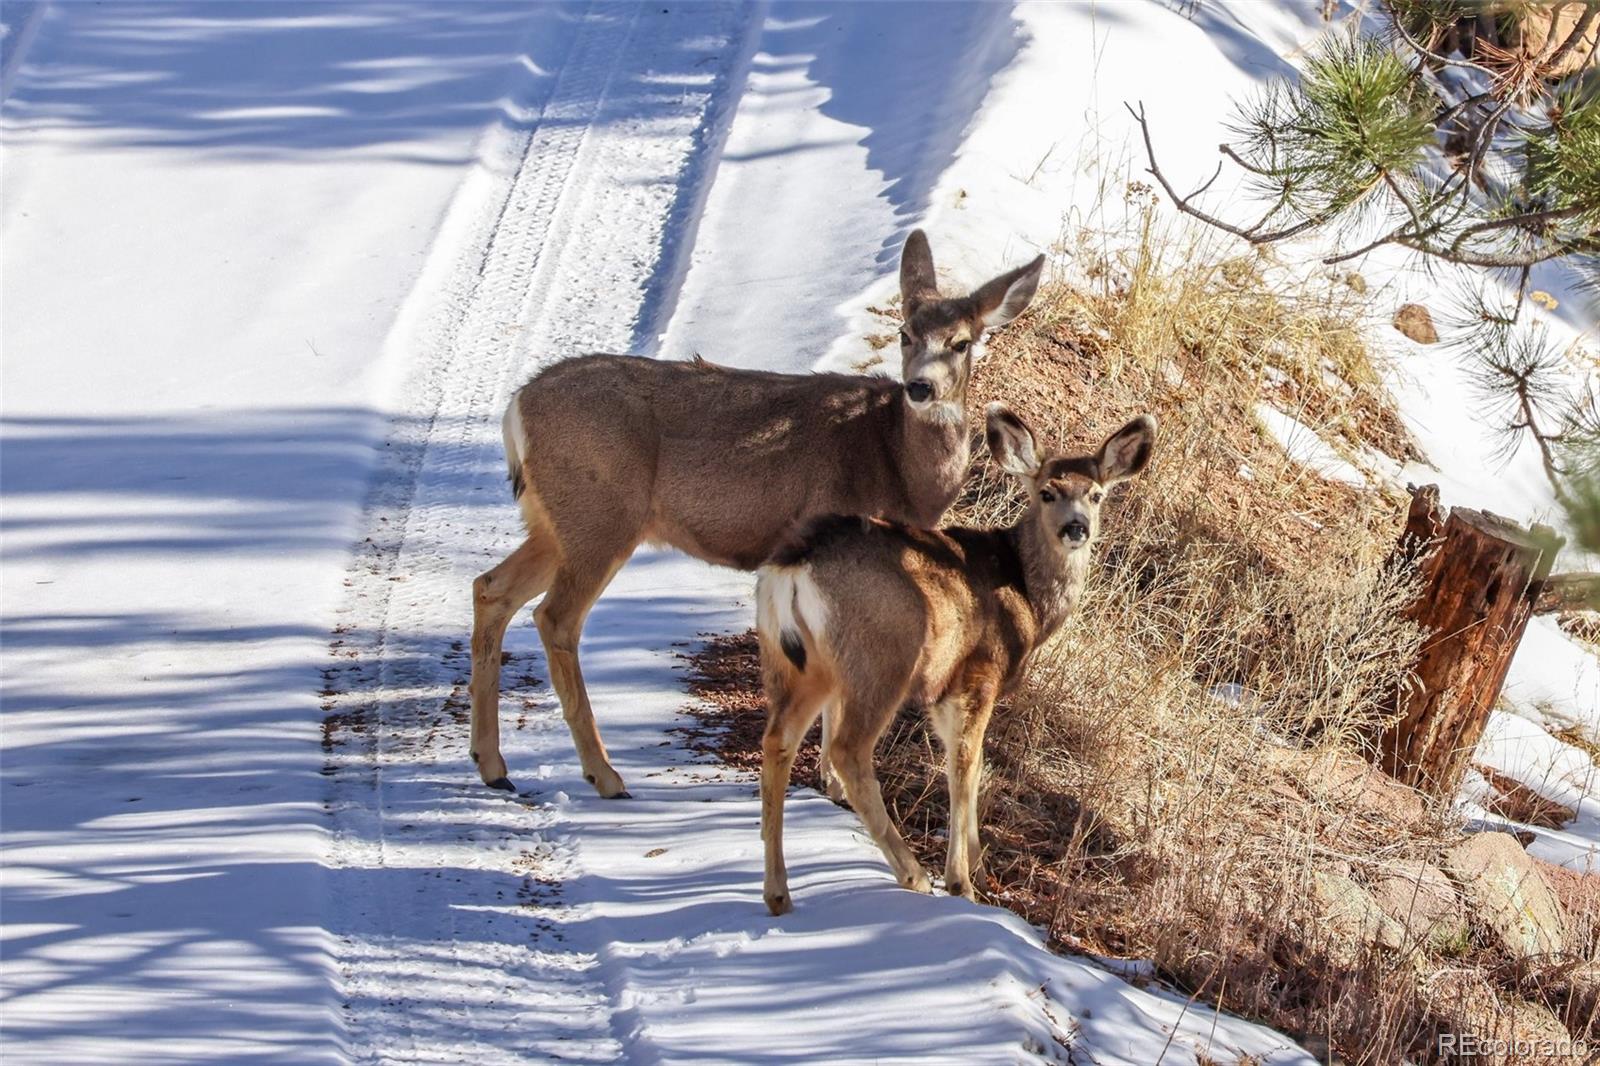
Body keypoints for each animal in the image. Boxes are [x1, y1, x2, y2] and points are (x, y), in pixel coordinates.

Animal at [467, 235, 1043, 797]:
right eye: (905, 333)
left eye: (961, 342)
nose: (920, 387)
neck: (896, 463)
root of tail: (516, 408)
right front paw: (834, 783)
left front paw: (830, 781)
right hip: (601, 514)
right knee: (555, 617)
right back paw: (604, 774)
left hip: (555, 520)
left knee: (491, 588)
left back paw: (493, 765)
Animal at [755, 403, 1158, 909]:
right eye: (1047, 492)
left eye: (1097, 494)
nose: (1076, 529)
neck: (1027, 597)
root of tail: (794, 564)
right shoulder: (977, 675)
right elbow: (965, 765)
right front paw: (963, 882)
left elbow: (976, 764)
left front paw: (981, 871)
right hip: (882, 658)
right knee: (848, 752)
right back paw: (913, 875)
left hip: (796, 662)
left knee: (778, 740)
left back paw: (777, 893)